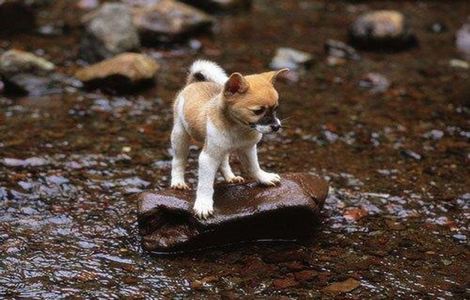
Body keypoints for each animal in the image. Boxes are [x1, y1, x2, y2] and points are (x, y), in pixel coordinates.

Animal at [169, 59, 286, 218]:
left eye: (276, 109)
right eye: (258, 111)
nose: (276, 127)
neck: (239, 128)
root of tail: (193, 83)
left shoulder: (247, 149)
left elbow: (254, 167)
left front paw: (264, 178)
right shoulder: (208, 157)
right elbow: (205, 184)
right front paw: (203, 204)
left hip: (221, 148)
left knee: (224, 161)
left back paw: (231, 177)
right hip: (180, 136)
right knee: (178, 161)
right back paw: (178, 182)